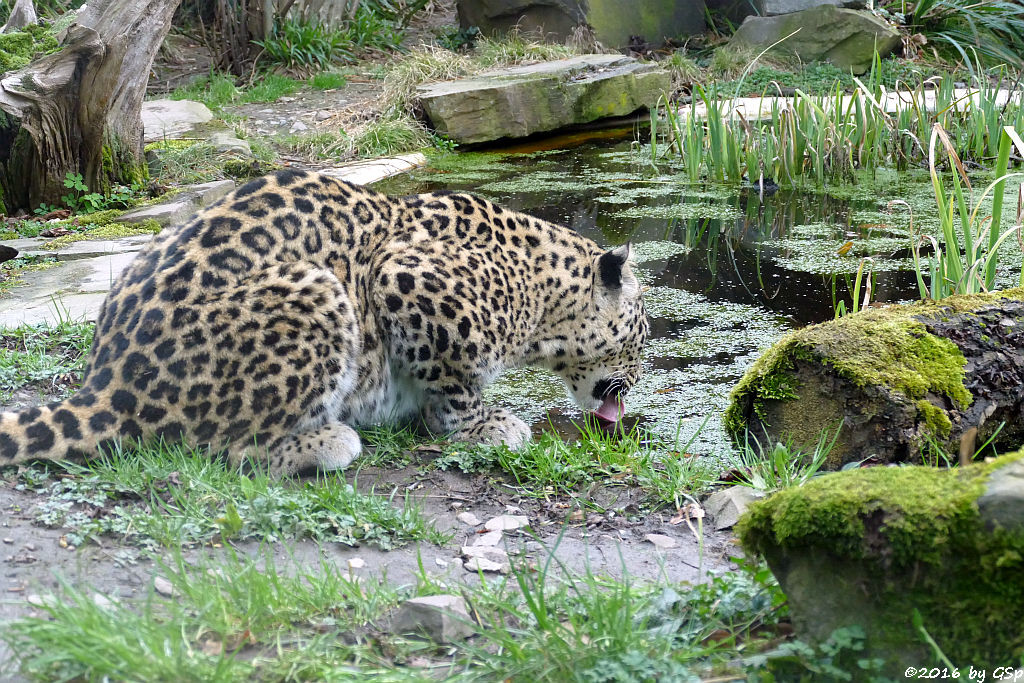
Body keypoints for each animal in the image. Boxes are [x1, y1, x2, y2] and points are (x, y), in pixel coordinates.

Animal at [2, 169, 647, 475]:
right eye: (641, 340)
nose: (637, 384)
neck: (541, 294)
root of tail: (105, 382)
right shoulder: (405, 276)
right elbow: (455, 380)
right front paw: (486, 425)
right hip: (318, 292)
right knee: (218, 447)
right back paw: (329, 441)